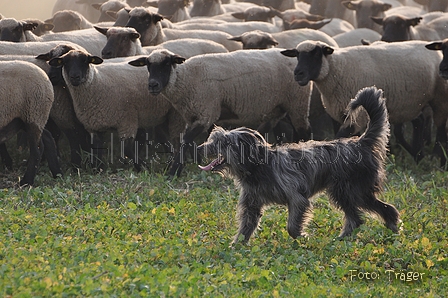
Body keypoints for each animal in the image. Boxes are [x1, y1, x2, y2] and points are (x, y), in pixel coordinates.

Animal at [128, 47, 314, 176]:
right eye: (148, 65)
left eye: (167, 63)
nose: (152, 85)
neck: (186, 78)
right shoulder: (197, 114)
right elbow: (194, 140)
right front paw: (198, 163)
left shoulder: (206, 112)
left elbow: (185, 140)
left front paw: (173, 172)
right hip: (279, 108)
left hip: (297, 103)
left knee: (304, 130)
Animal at [198, 86, 400, 244]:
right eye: (213, 139)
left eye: (222, 142)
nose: (200, 148)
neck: (258, 168)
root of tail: (360, 142)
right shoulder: (252, 205)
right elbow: (245, 229)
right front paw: (235, 248)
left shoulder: (297, 199)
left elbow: (292, 226)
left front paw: (302, 237)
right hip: (345, 193)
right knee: (360, 218)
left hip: (354, 191)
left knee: (384, 209)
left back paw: (392, 230)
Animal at [282, 39, 448, 166]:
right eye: (297, 55)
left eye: (316, 54)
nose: (298, 73)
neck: (337, 69)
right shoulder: (341, 112)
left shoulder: (358, 114)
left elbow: (340, 136)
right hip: (409, 104)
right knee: (419, 122)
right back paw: (418, 156)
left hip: (439, 98)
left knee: (440, 129)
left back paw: (438, 161)